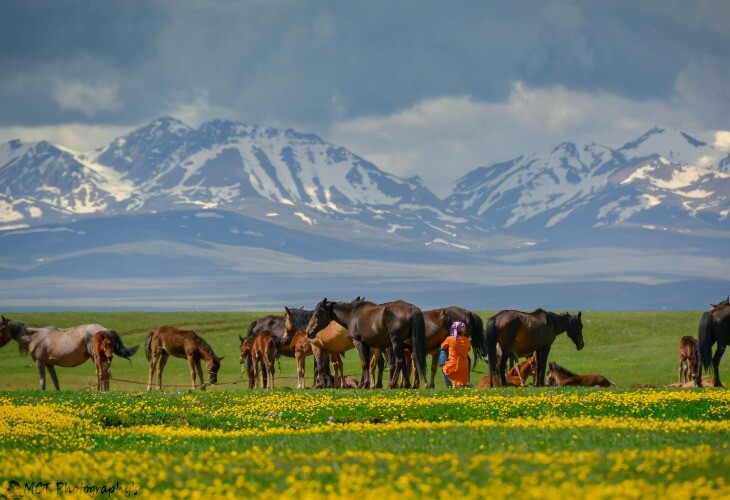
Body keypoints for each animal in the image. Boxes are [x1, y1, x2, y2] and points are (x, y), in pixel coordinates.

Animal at [0, 316, 138, 390]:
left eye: (1, 328)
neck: (35, 337)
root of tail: (104, 329)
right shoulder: (49, 364)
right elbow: (55, 381)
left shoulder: (40, 362)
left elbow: (42, 382)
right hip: (104, 357)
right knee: (106, 373)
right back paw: (106, 391)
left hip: (96, 357)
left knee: (101, 373)